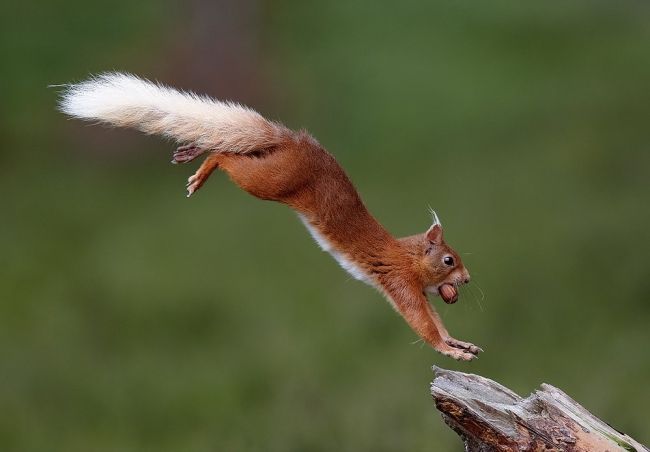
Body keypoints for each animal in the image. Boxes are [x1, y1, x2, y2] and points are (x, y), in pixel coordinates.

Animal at [59, 71, 480, 360]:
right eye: (449, 260)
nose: (468, 280)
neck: (406, 255)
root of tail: (291, 141)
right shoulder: (399, 283)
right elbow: (422, 324)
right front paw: (450, 350)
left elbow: (435, 320)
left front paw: (460, 342)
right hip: (271, 181)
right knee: (228, 156)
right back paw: (203, 166)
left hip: (268, 168)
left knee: (231, 148)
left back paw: (192, 153)